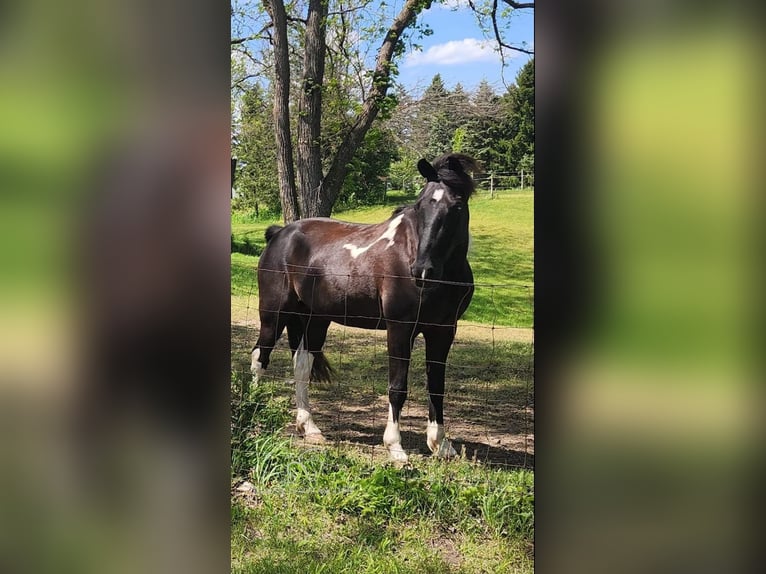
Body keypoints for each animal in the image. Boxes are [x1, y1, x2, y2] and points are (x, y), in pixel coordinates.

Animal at [255, 154, 476, 464]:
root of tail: (279, 234)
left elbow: (437, 386)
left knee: (301, 365)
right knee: (259, 356)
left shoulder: (443, 331)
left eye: (456, 206)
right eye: (420, 206)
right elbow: (397, 387)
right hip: (274, 314)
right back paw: (254, 408)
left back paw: (309, 428)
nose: (422, 270)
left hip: (315, 320)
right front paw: (395, 448)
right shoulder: (400, 328)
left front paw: (441, 445)